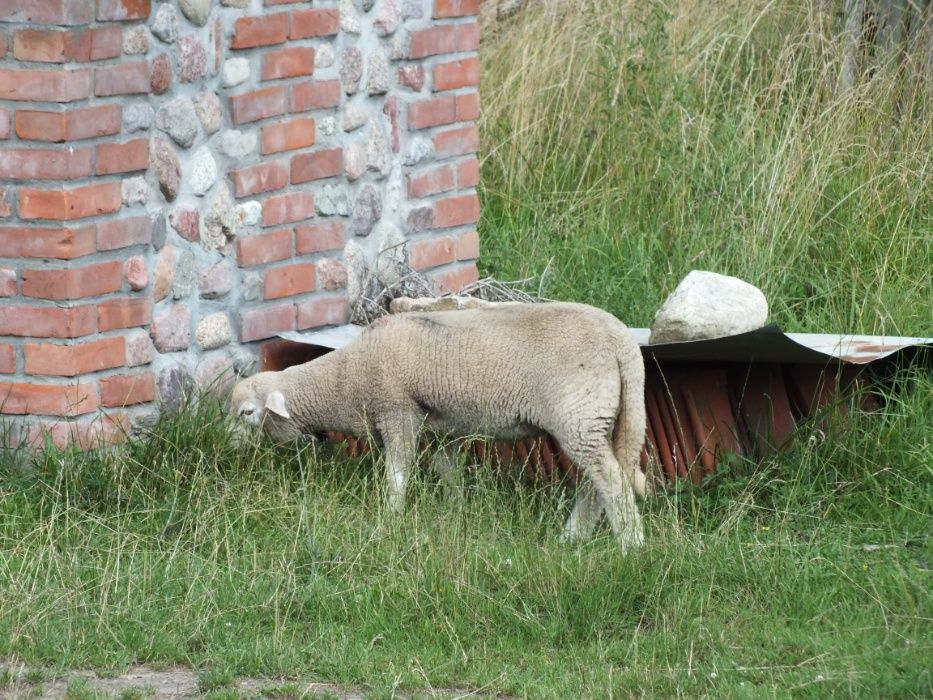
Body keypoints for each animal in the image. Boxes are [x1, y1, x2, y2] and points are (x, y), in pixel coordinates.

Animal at [229, 304, 644, 548]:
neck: (346, 379)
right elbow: (449, 471)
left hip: (580, 415)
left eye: (247, 413)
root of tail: (622, 342)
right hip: (599, 420)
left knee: (612, 481)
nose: (229, 447)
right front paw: (455, 510)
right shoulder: (444, 427)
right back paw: (573, 537)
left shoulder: (396, 411)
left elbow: (397, 473)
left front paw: (390, 516)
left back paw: (630, 544)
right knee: (599, 482)